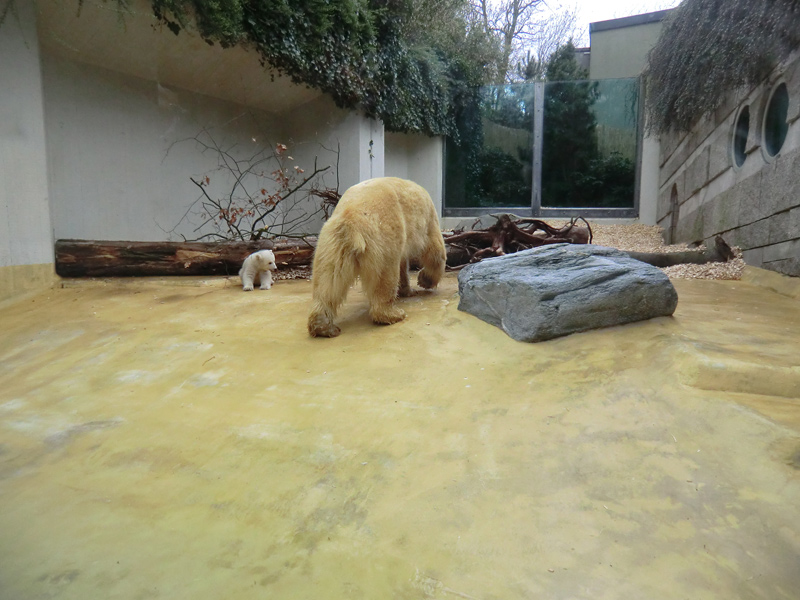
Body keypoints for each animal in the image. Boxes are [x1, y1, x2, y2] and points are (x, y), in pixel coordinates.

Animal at [308, 178, 446, 338]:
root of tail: (352, 222)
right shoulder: (428, 218)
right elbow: (435, 250)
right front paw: (424, 280)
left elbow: (403, 264)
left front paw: (407, 290)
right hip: (383, 239)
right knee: (385, 276)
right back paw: (393, 314)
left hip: (331, 244)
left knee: (328, 280)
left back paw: (323, 325)